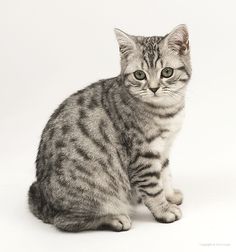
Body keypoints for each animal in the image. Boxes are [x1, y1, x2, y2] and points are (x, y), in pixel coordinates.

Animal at [28, 24, 192, 231]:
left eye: (167, 72)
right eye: (140, 75)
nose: (154, 88)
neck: (166, 109)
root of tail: (44, 201)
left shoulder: (163, 148)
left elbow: (165, 175)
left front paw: (170, 195)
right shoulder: (143, 154)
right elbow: (153, 187)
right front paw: (164, 209)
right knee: (66, 221)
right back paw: (115, 218)